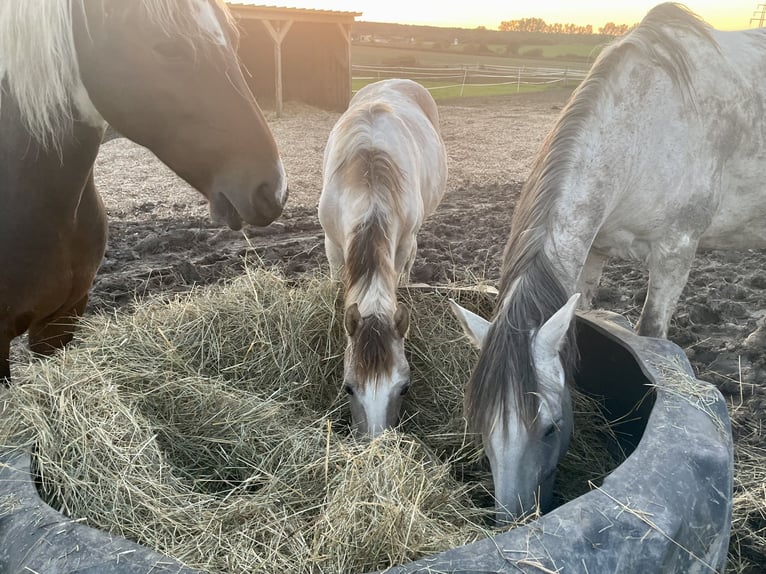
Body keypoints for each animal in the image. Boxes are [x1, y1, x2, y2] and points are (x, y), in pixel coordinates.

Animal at [450, 3, 766, 528]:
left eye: (551, 427)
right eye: (480, 427)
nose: (515, 522)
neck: (648, 127)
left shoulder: (676, 253)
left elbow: (653, 332)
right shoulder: (593, 252)